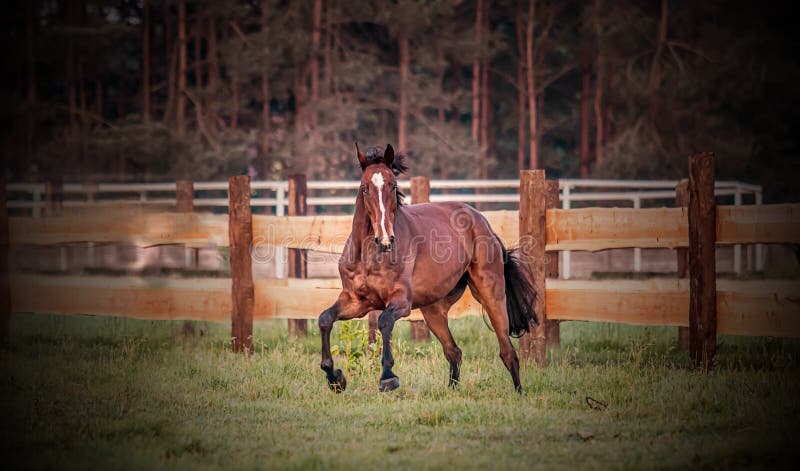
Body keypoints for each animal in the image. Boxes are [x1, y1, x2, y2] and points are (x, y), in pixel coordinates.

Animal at [318, 142, 536, 392]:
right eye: (364, 188)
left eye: (393, 186)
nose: (385, 240)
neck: (369, 257)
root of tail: (483, 223)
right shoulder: (355, 301)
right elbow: (325, 319)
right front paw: (335, 378)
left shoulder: (401, 302)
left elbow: (384, 321)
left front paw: (388, 377)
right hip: (433, 310)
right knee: (453, 351)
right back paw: (452, 391)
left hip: (491, 296)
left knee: (507, 353)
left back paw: (519, 393)